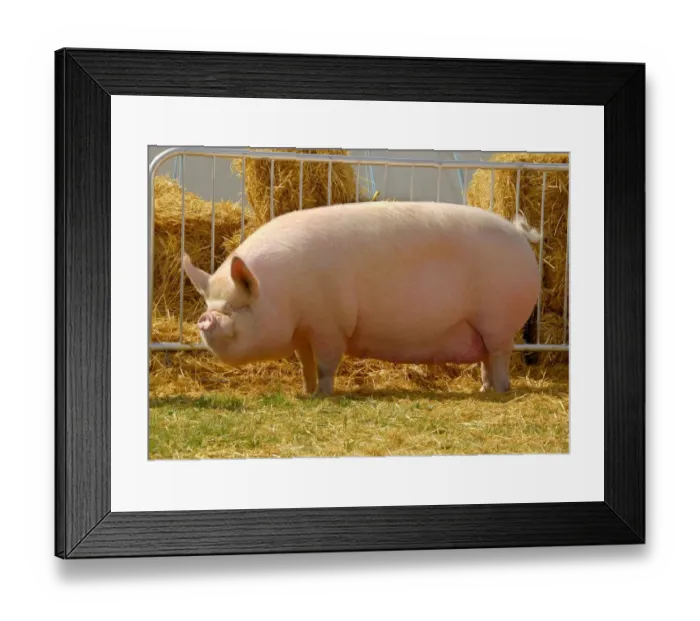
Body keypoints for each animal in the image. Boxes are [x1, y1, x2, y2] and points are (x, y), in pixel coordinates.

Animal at [182, 201, 542, 396]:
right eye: (209, 303)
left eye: (238, 305)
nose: (206, 318)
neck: (283, 292)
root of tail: (519, 235)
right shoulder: (304, 332)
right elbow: (305, 364)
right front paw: (306, 392)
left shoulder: (329, 324)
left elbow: (326, 364)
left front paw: (323, 394)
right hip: (484, 328)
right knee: (486, 359)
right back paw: (484, 389)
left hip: (498, 320)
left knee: (499, 356)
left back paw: (500, 390)